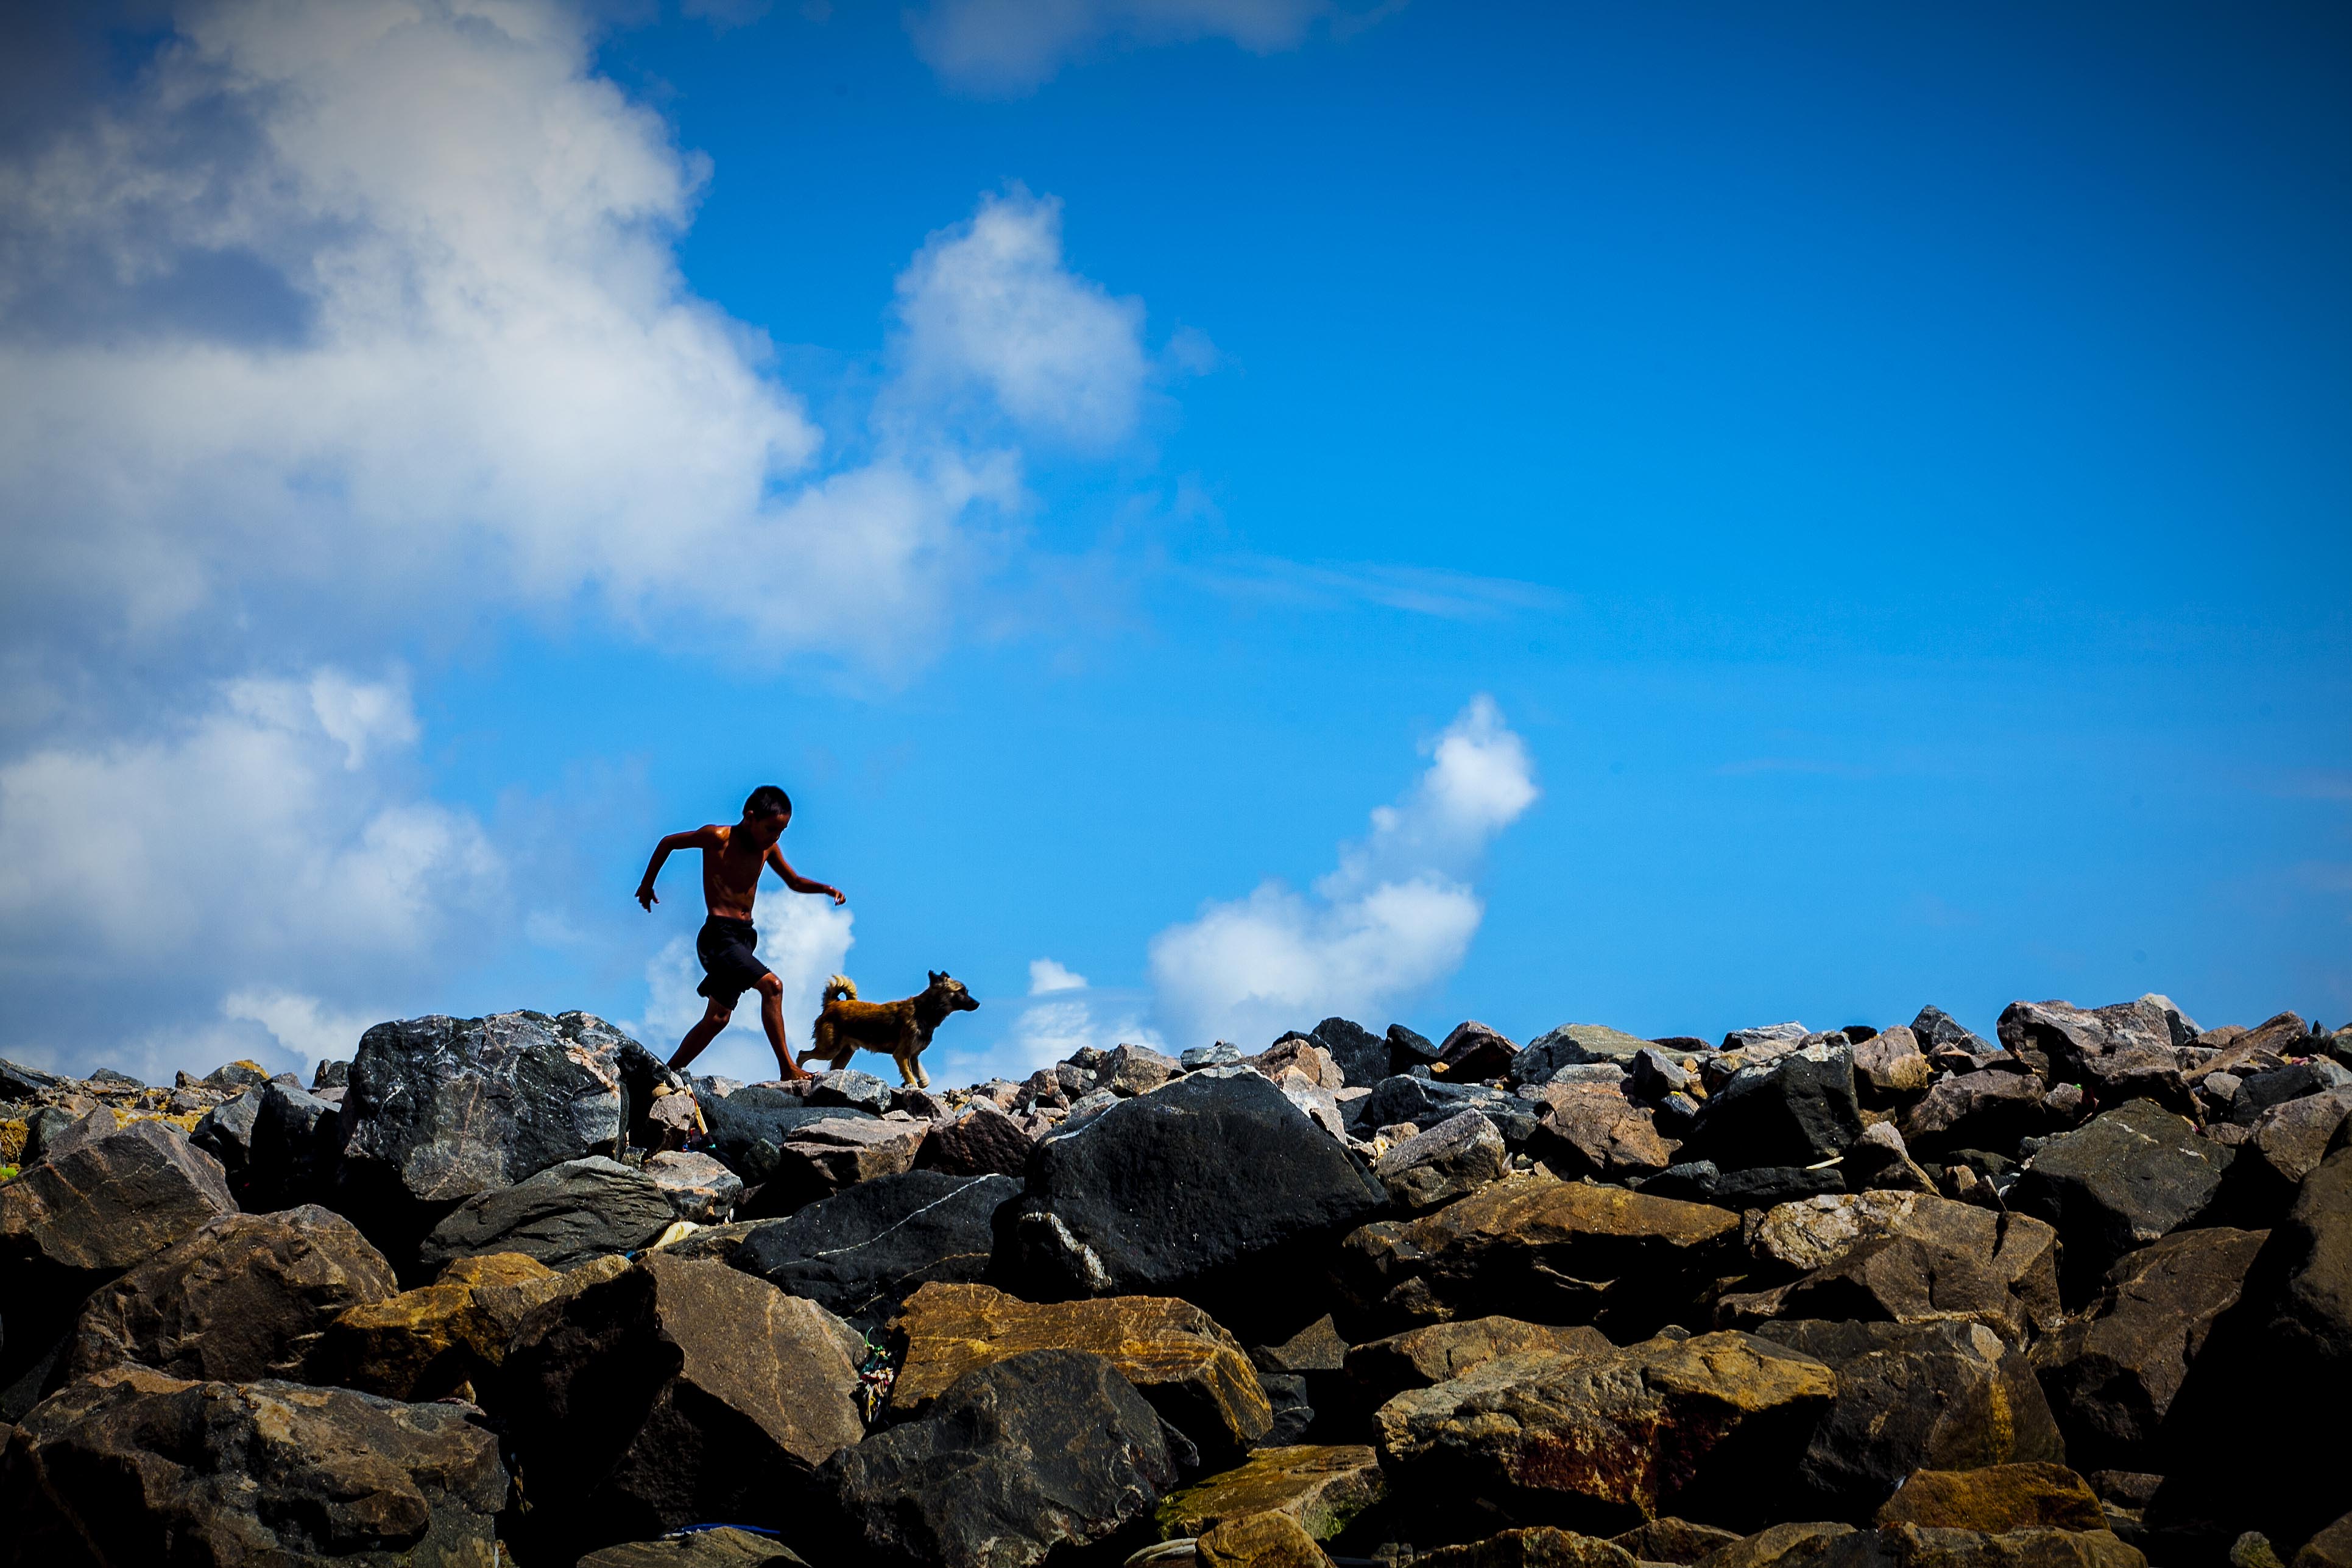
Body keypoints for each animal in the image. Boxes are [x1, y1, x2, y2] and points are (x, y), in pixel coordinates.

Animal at [804, 968, 978, 1090]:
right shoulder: (901, 1055)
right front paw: (912, 1086)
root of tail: (832, 1004)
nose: (978, 1004)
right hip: (829, 1049)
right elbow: (911, 1078)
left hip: (844, 1054)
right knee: (802, 1055)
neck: (924, 1011)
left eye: (966, 991)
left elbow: (925, 1080)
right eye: (961, 992)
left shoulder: (913, 1057)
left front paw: (911, 1084)